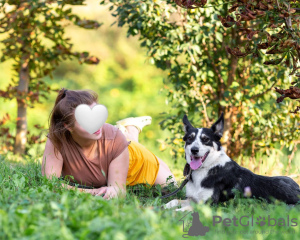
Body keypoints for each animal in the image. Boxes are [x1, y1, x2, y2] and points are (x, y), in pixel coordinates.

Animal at [165, 113, 298, 211]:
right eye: (189, 138)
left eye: (206, 139)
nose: (194, 150)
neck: (207, 168)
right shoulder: (192, 199)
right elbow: (173, 201)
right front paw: (163, 207)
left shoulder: (209, 204)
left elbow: (185, 210)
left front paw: (173, 213)